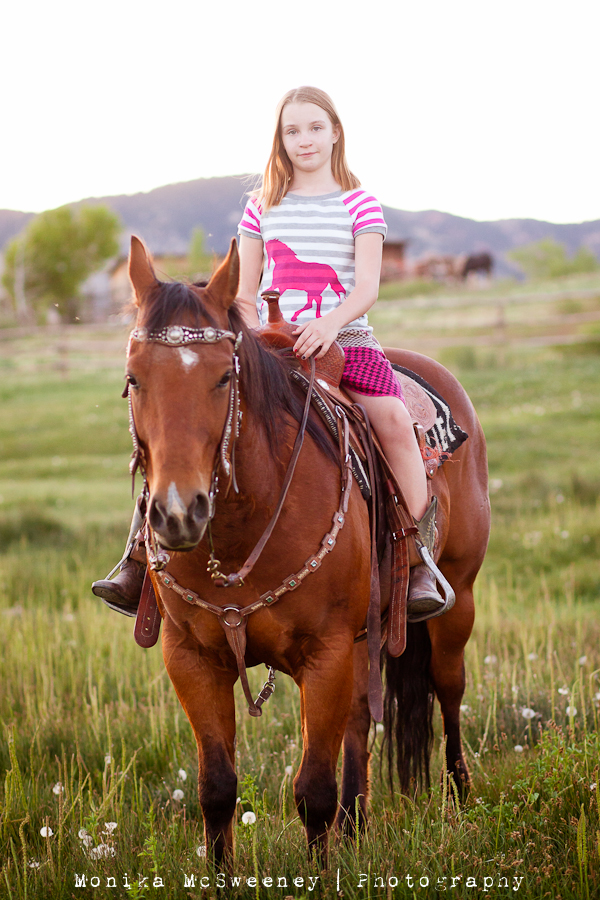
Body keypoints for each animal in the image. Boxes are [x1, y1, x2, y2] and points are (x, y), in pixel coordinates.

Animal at [124, 236, 490, 868]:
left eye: (224, 378)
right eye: (134, 379)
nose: (178, 512)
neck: (243, 530)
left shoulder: (325, 653)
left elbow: (313, 792)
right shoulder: (190, 657)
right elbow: (216, 790)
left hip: (456, 600)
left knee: (448, 689)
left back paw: (460, 798)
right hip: (368, 631)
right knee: (360, 719)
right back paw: (357, 823)